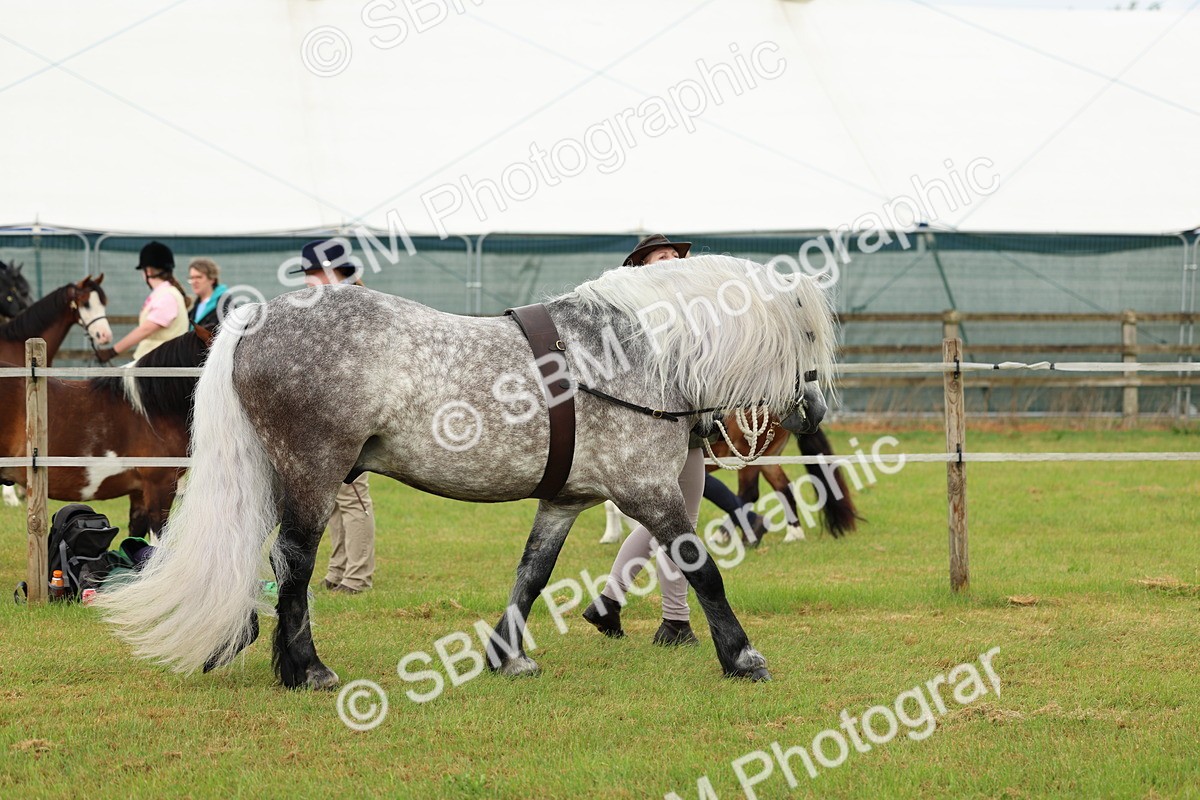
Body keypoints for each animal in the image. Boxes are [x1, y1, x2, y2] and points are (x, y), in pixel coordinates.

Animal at [97, 254, 837, 689]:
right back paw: (307, 669)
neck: (625, 353)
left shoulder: (565, 499)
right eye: (808, 333)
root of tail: (256, 318)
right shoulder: (647, 491)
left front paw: (508, 656)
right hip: (313, 474)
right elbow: (701, 567)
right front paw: (741, 656)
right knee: (295, 565)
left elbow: (531, 574)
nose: (817, 409)